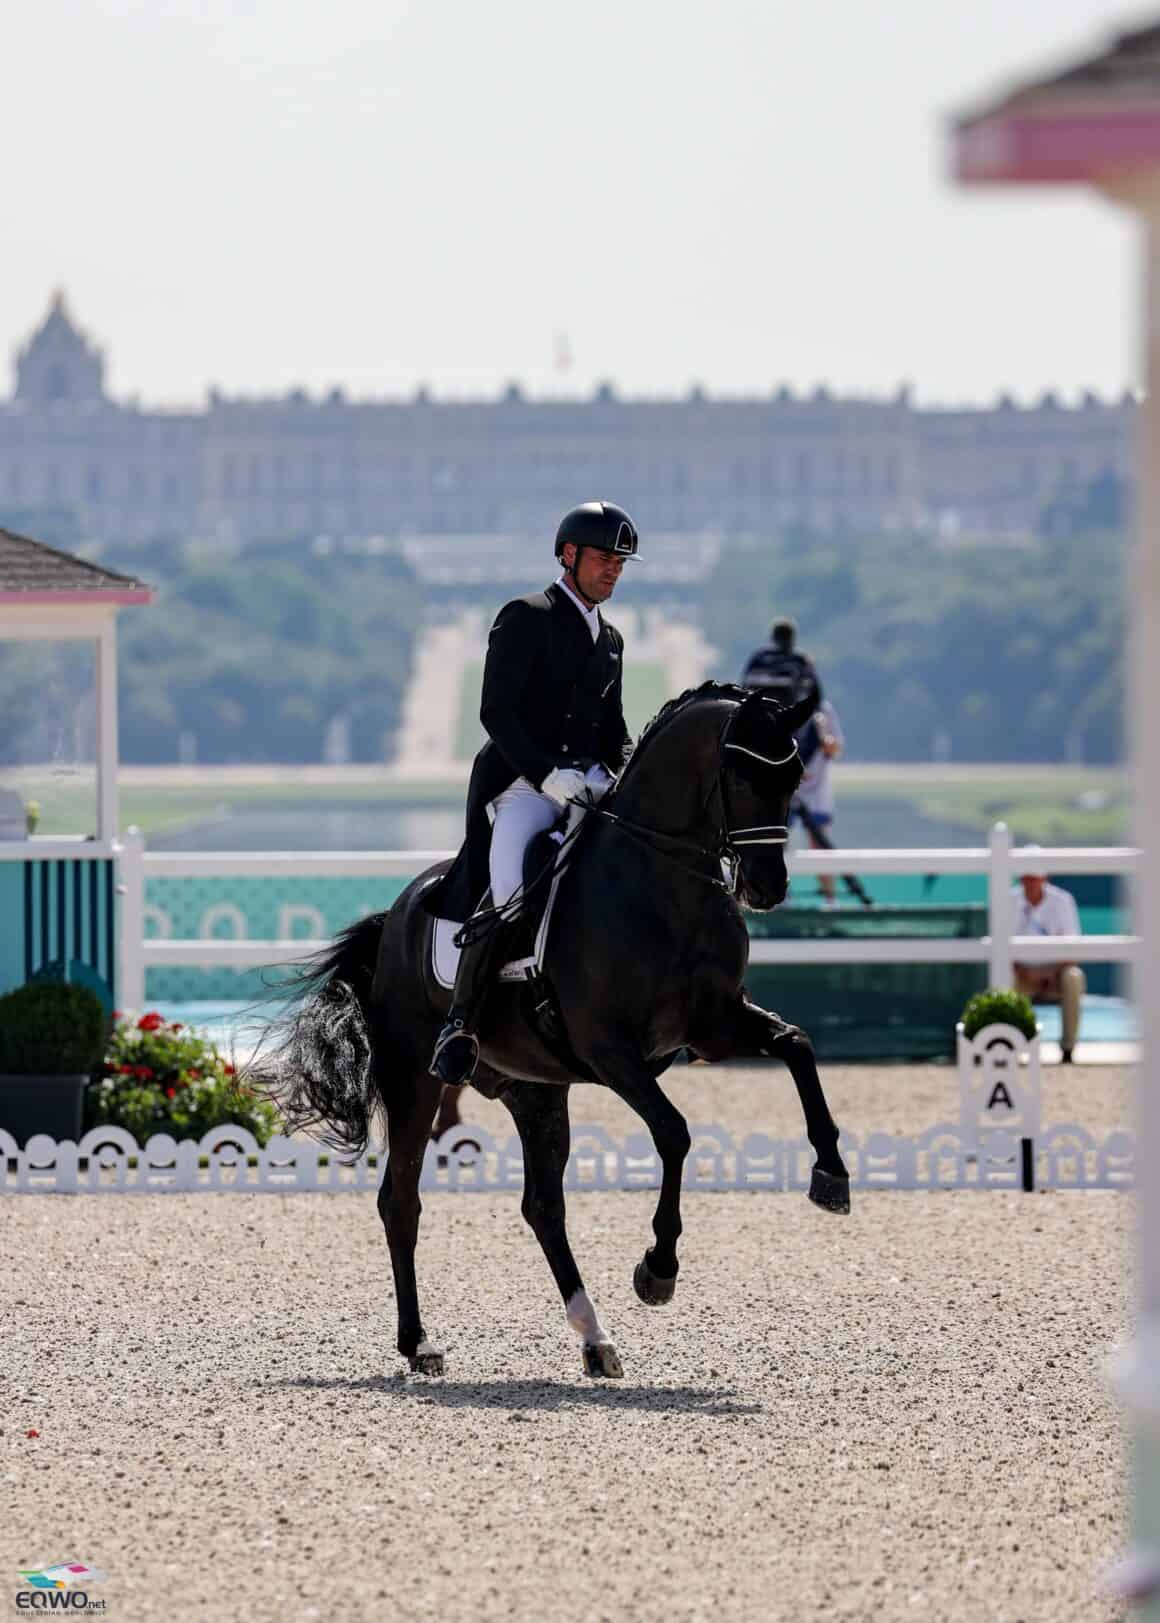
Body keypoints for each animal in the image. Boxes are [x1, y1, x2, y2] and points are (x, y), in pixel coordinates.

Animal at [274, 678, 850, 1376]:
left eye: (793, 775)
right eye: (740, 773)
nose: (768, 888)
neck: (661, 883)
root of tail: (398, 912)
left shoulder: (714, 1027)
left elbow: (797, 1046)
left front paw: (832, 1176)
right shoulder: (610, 1051)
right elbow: (675, 1133)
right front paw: (658, 1269)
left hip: (536, 1090)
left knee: (542, 1208)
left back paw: (595, 1338)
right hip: (416, 1078)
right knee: (401, 1198)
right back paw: (419, 1343)